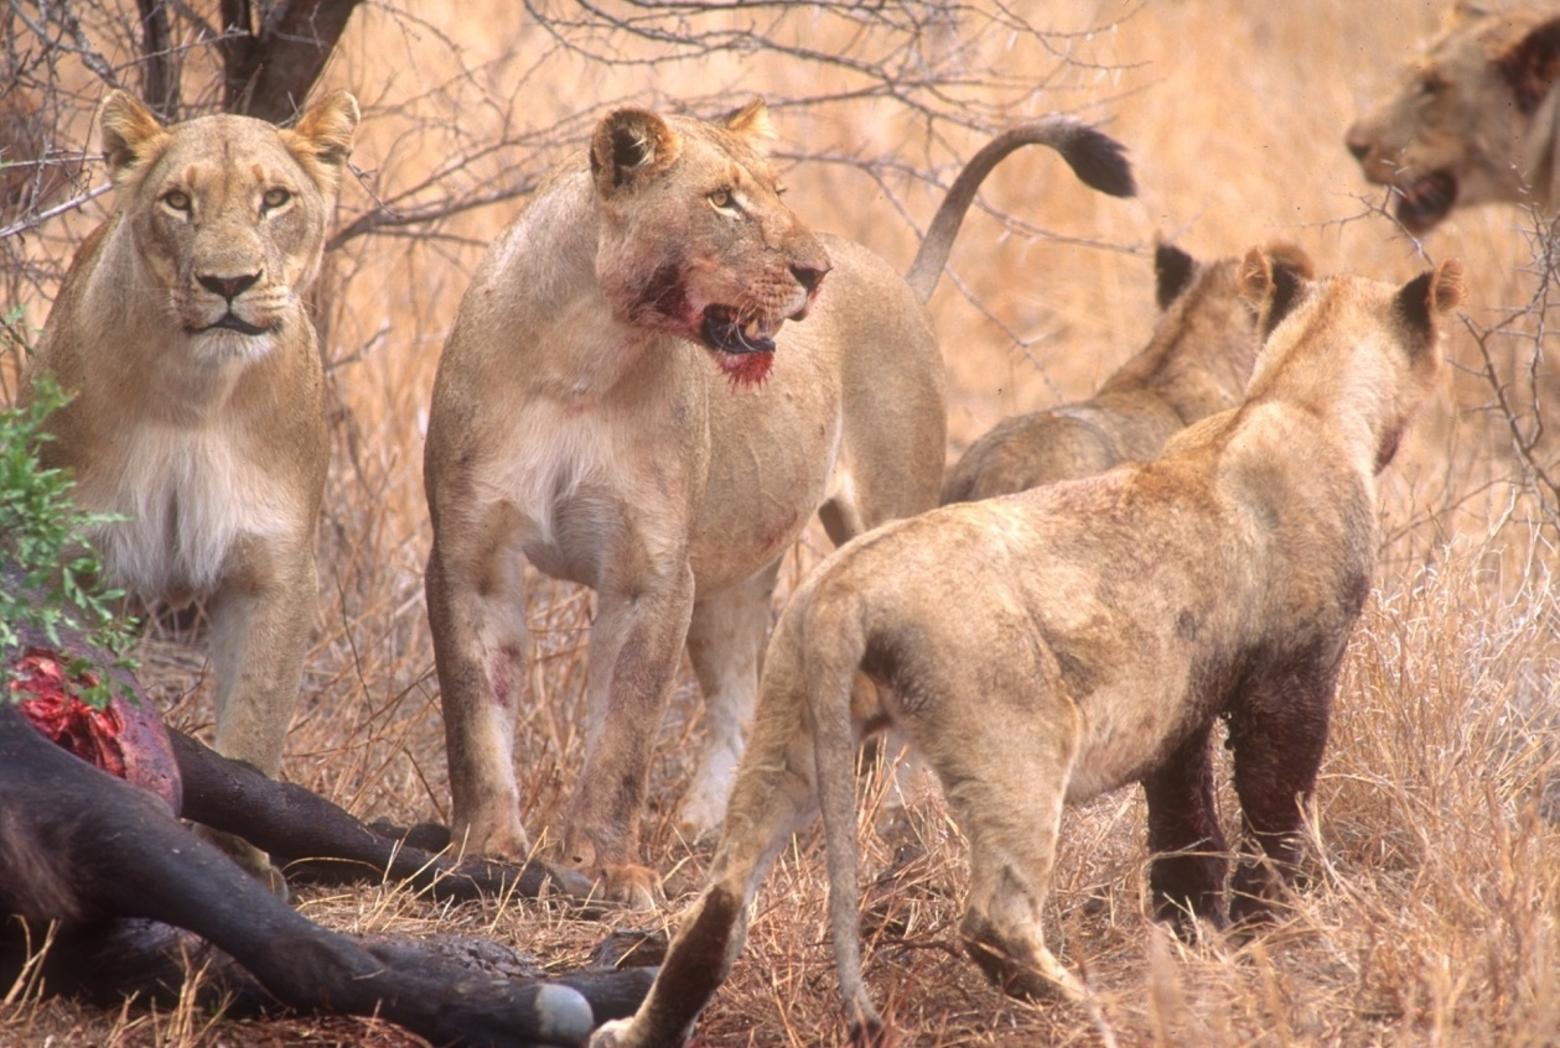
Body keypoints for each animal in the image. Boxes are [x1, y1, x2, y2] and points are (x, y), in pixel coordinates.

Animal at [424, 102, 1135, 904]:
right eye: (721, 200)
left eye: (777, 189)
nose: (815, 272)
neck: (584, 355)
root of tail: (894, 275)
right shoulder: (471, 554)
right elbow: (476, 719)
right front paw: (486, 853)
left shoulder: (649, 574)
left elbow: (622, 737)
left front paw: (606, 866)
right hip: (730, 574)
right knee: (737, 697)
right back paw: (706, 827)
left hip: (879, 516)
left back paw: (898, 823)